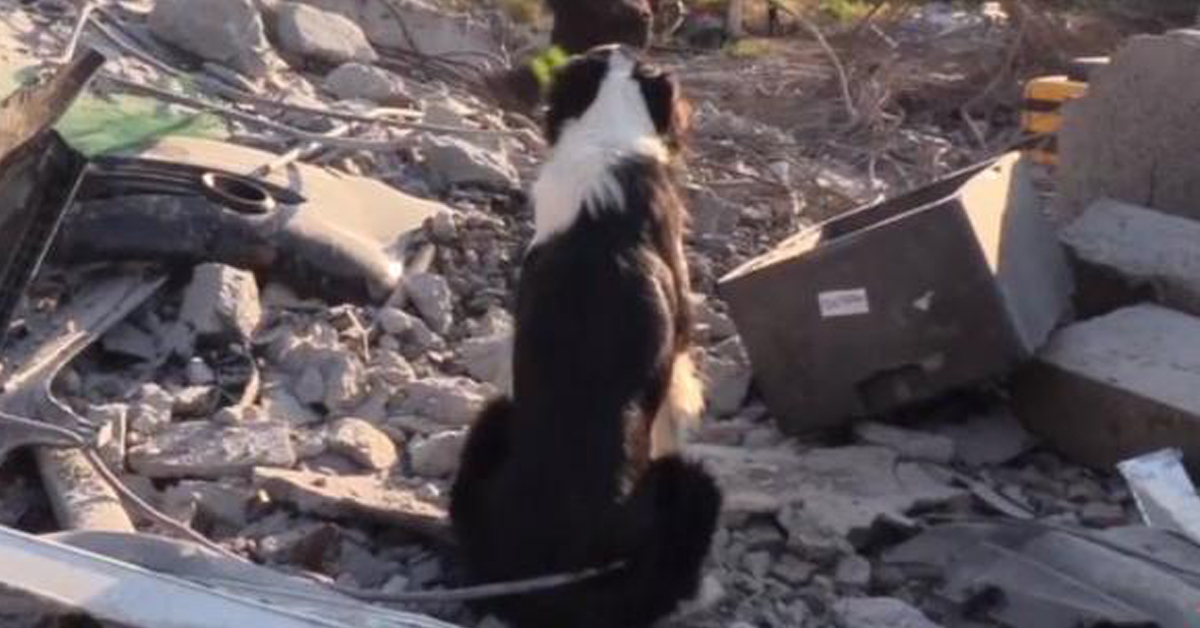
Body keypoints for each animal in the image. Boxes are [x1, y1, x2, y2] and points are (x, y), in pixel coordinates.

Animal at [446, 45, 715, 628]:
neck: (608, 136)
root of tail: (557, 574)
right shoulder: (679, 356)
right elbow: (673, 421)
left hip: (492, 425)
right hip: (689, 487)